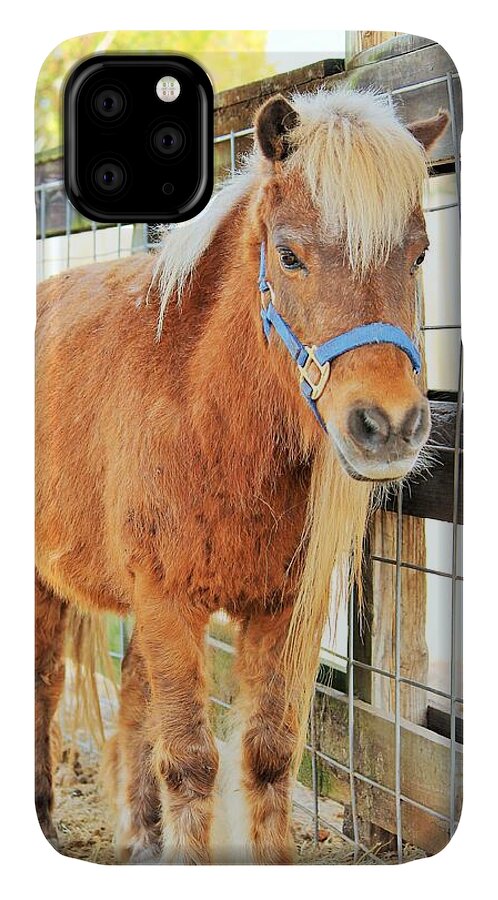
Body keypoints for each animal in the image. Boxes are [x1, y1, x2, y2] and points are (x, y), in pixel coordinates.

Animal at [35, 87, 449, 864]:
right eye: (288, 255)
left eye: (420, 253)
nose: (388, 426)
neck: (208, 416)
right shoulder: (168, 601)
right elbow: (191, 761)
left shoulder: (282, 610)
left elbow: (268, 753)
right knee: (45, 685)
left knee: (130, 703)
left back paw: (139, 837)